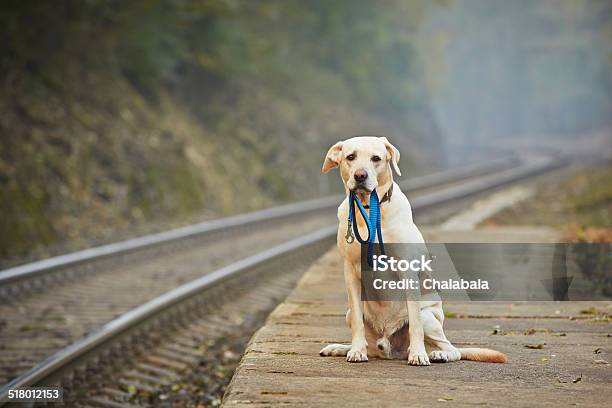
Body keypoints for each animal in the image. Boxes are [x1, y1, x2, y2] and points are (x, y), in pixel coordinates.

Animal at [318, 137, 504, 366]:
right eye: (350, 157)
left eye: (376, 158)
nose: (360, 175)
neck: (369, 211)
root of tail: (391, 349)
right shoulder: (351, 272)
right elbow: (358, 325)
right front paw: (356, 351)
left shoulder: (407, 270)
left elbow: (415, 323)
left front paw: (418, 354)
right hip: (349, 314)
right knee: (368, 340)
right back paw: (341, 348)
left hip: (429, 318)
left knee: (452, 349)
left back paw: (437, 354)